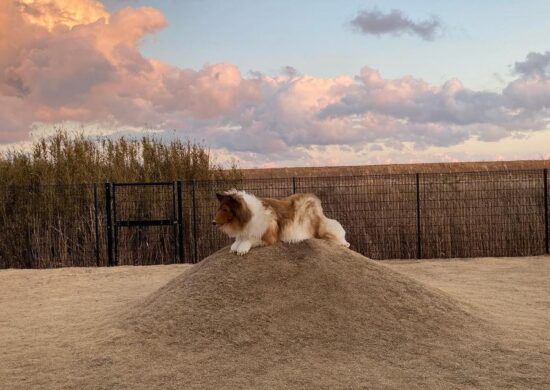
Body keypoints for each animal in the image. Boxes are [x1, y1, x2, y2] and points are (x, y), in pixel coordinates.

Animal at [213, 190, 352, 256]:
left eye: (225, 209)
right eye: (219, 208)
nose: (213, 222)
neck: (248, 215)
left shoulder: (268, 236)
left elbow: (250, 239)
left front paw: (242, 248)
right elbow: (237, 240)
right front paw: (235, 245)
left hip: (321, 228)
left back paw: (344, 243)